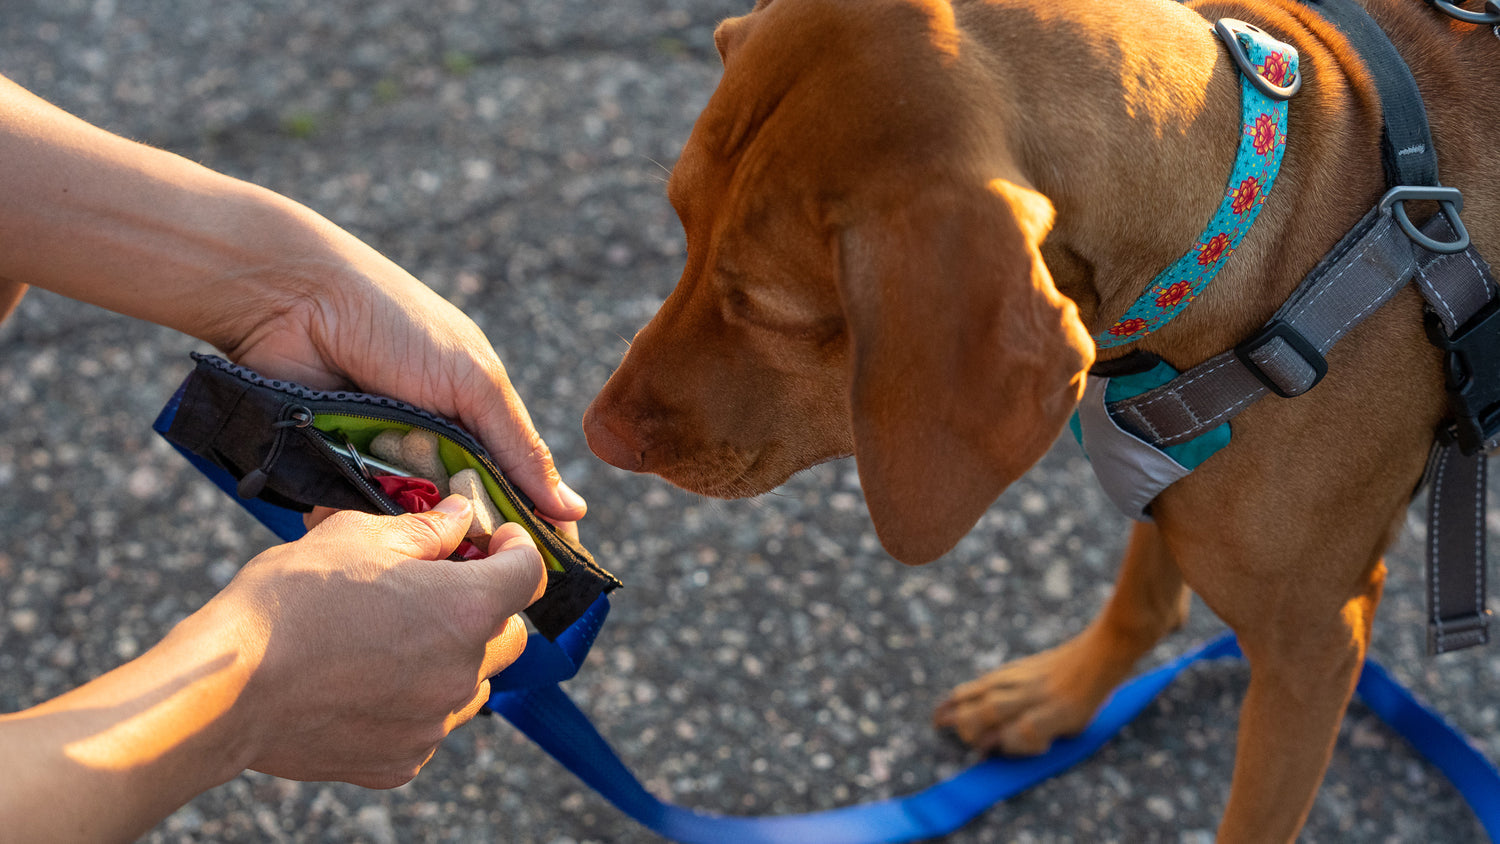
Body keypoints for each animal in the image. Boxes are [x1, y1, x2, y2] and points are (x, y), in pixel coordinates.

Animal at [579, 3, 1500, 839]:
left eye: (766, 307)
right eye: (681, 226)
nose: (595, 436)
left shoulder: (1312, 646)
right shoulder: (1160, 468)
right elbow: (1141, 599)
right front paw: (1058, 696)